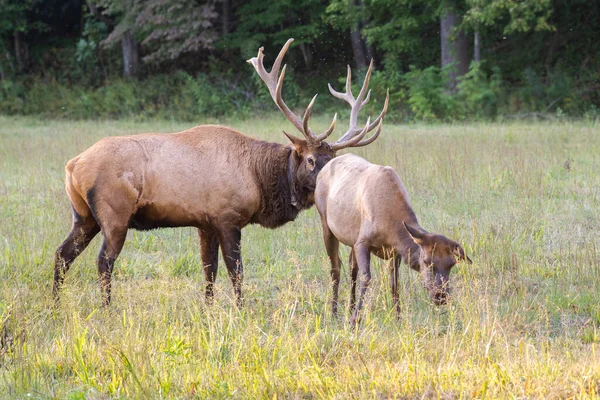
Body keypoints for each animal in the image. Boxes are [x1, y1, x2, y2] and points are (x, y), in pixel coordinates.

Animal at [51, 38, 390, 306]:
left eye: (332, 158)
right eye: (309, 159)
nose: (330, 185)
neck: (259, 178)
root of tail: (72, 166)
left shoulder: (205, 223)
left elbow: (209, 272)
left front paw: (208, 310)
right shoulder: (228, 217)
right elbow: (236, 273)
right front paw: (241, 311)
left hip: (84, 216)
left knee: (61, 255)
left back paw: (55, 306)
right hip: (114, 215)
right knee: (103, 262)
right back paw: (107, 309)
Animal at [312, 153, 472, 324]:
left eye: (452, 264)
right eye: (426, 261)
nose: (440, 296)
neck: (390, 225)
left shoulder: (394, 251)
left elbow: (394, 283)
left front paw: (398, 318)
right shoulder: (362, 242)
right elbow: (366, 277)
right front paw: (354, 320)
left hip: (351, 240)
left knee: (351, 266)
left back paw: (349, 307)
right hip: (325, 223)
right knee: (335, 268)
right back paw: (334, 312)